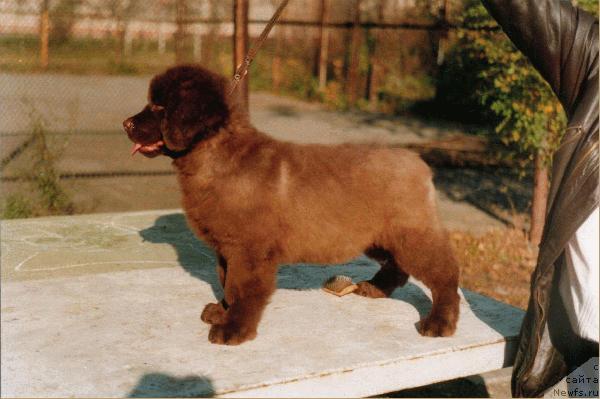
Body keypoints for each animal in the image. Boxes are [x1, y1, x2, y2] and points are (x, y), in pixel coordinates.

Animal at [122, 65, 460, 346]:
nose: (126, 123)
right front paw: (222, 311)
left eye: (160, 107)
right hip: (378, 236)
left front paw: (234, 330)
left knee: (444, 274)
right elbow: (226, 283)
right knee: (398, 266)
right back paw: (377, 288)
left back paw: (439, 322)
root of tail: (418, 162)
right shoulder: (226, 250)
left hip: (411, 235)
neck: (215, 156)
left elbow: (241, 288)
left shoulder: (249, 250)